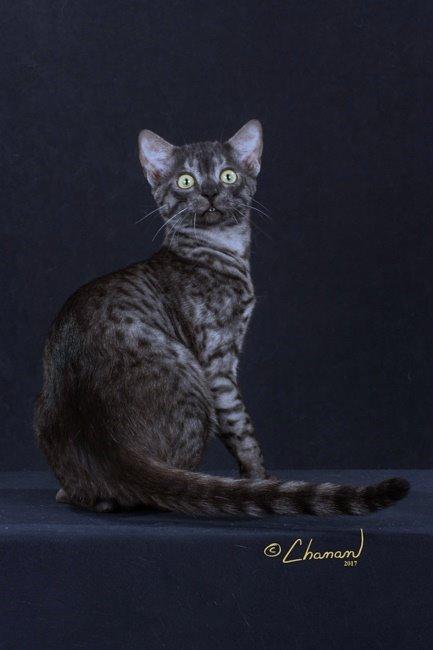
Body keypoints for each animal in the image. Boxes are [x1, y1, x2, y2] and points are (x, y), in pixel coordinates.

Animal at [34, 119, 409, 516]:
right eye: (186, 180)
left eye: (228, 175)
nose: (211, 192)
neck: (222, 248)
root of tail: (110, 448)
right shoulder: (218, 361)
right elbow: (242, 428)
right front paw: (260, 479)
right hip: (192, 376)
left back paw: (68, 493)